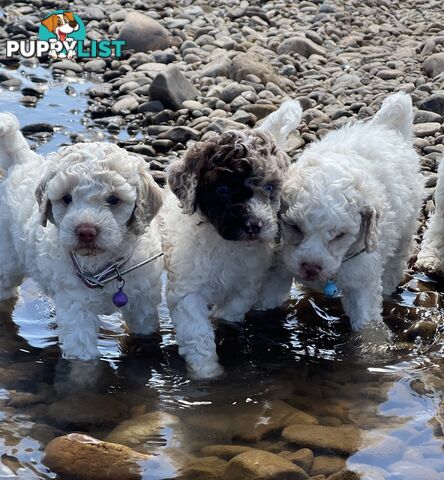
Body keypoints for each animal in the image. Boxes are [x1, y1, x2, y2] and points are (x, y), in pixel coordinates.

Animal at [0, 112, 164, 360]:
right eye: (66, 198)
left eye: (114, 200)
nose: (85, 231)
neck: (104, 266)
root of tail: (22, 161)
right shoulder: (77, 309)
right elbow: (84, 358)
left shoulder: (142, 300)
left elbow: (145, 329)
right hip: (7, 259)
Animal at [157, 101, 302, 378]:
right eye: (223, 190)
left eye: (269, 188)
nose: (256, 225)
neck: (225, 243)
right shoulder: (188, 289)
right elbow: (197, 331)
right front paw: (207, 372)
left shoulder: (245, 285)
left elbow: (230, 312)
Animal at [272, 93, 422, 332]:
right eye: (294, 227)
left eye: (340, 236)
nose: (311, 267)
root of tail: (382, 128)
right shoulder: (280, 260)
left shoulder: (362, 275)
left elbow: (367, 324)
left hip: (407, 225)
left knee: (397, 259)